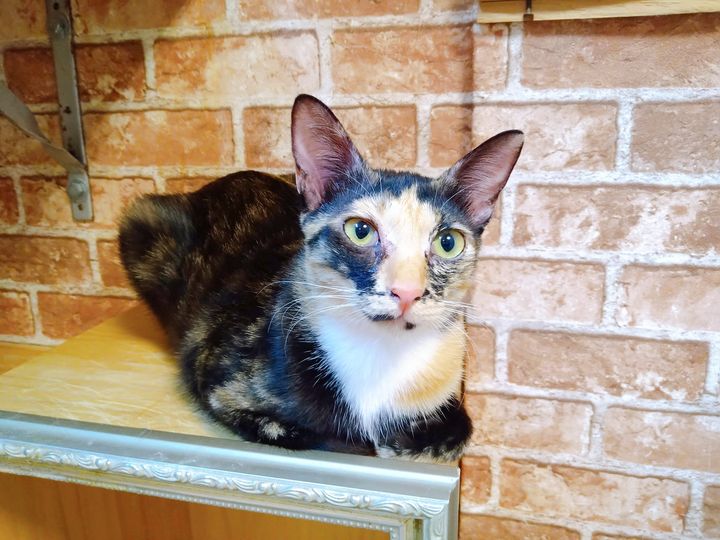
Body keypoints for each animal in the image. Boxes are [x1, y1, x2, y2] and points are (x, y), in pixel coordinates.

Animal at [119, 95, 523, 461]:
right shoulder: (218, 382)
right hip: (143, 219)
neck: (379, 355)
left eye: (448, 242)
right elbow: (324, 437)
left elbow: (458, 433)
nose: (407, 291)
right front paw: (372, 441)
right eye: (360, 230)